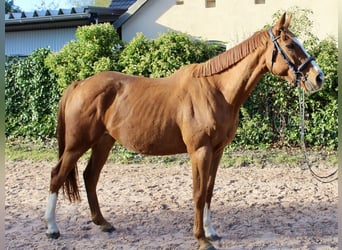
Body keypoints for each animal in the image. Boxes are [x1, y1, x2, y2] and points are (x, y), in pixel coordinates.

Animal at [44, 14, 324, 250]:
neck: (216, 90)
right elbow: (198, 193)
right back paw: (52, 228)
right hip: (76, 144)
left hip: (103, 142)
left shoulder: (217, 151)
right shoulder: (199, 151)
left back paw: (102, 223)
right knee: (57, 175)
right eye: (290, 45)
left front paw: (211, 232)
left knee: (90, 177)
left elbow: (209, 190)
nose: (318, 77)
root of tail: (80, 84)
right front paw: (201, 239)